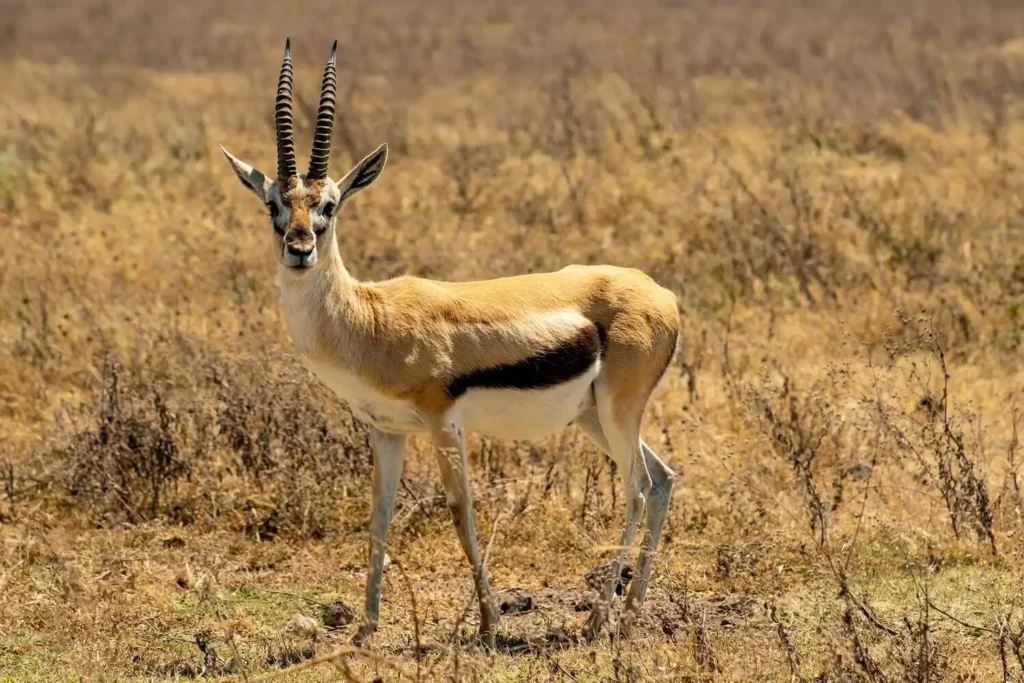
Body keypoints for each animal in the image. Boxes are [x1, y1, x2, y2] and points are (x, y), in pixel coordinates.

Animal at [220, 39, 680, 647]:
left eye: (330, 204)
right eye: (273, 203)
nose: (299, 249)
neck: (370, 321)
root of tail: (664, 296)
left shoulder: (444, 423)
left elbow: (461, 512)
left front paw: (487, 623)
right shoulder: (386, 432)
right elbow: (379, 517)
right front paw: (365, 630)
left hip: (617, 411)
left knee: (637, 487)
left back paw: (599, 619)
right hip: (592, 417)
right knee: (662, 480)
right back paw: (629, 615)